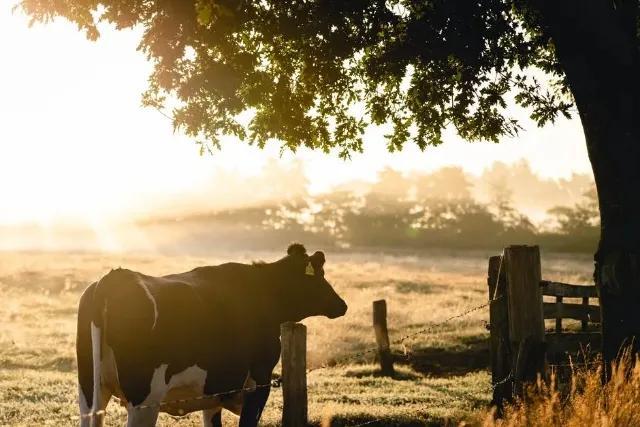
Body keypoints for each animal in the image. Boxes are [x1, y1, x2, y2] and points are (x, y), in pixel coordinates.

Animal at [77, 244, 348, 427]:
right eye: (320, 276)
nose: (342, 305)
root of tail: (114, 277)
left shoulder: (214, 391)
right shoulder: (259, 381)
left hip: (90, 392)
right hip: (144, 399)